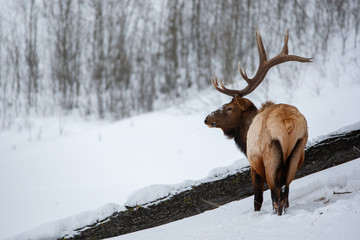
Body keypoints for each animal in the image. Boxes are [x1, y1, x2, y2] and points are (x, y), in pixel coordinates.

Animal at [205, 30, 312, 216]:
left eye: (229, 108)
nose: (207, 118)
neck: (244, 135)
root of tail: (288, 123)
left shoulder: (253, 165)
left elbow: (257, 199)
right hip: (297, 152)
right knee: (285, 194)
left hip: (271, 158)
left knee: (276, 198)